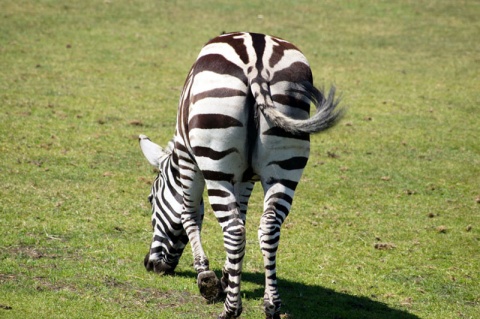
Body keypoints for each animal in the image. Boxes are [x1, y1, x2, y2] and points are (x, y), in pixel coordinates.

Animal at [137, 31, 344, 319]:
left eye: (151, 199)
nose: (150, 264)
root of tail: (257, 59)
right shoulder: (245, 177)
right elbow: (242, 215)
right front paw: (227, 276)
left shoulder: (190, 162)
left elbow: (189, 215)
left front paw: (206, 278)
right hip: (285, 163)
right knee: (267, 227)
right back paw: (271, 305)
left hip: (215, 160)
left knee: (234, 230)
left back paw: (230, 309)